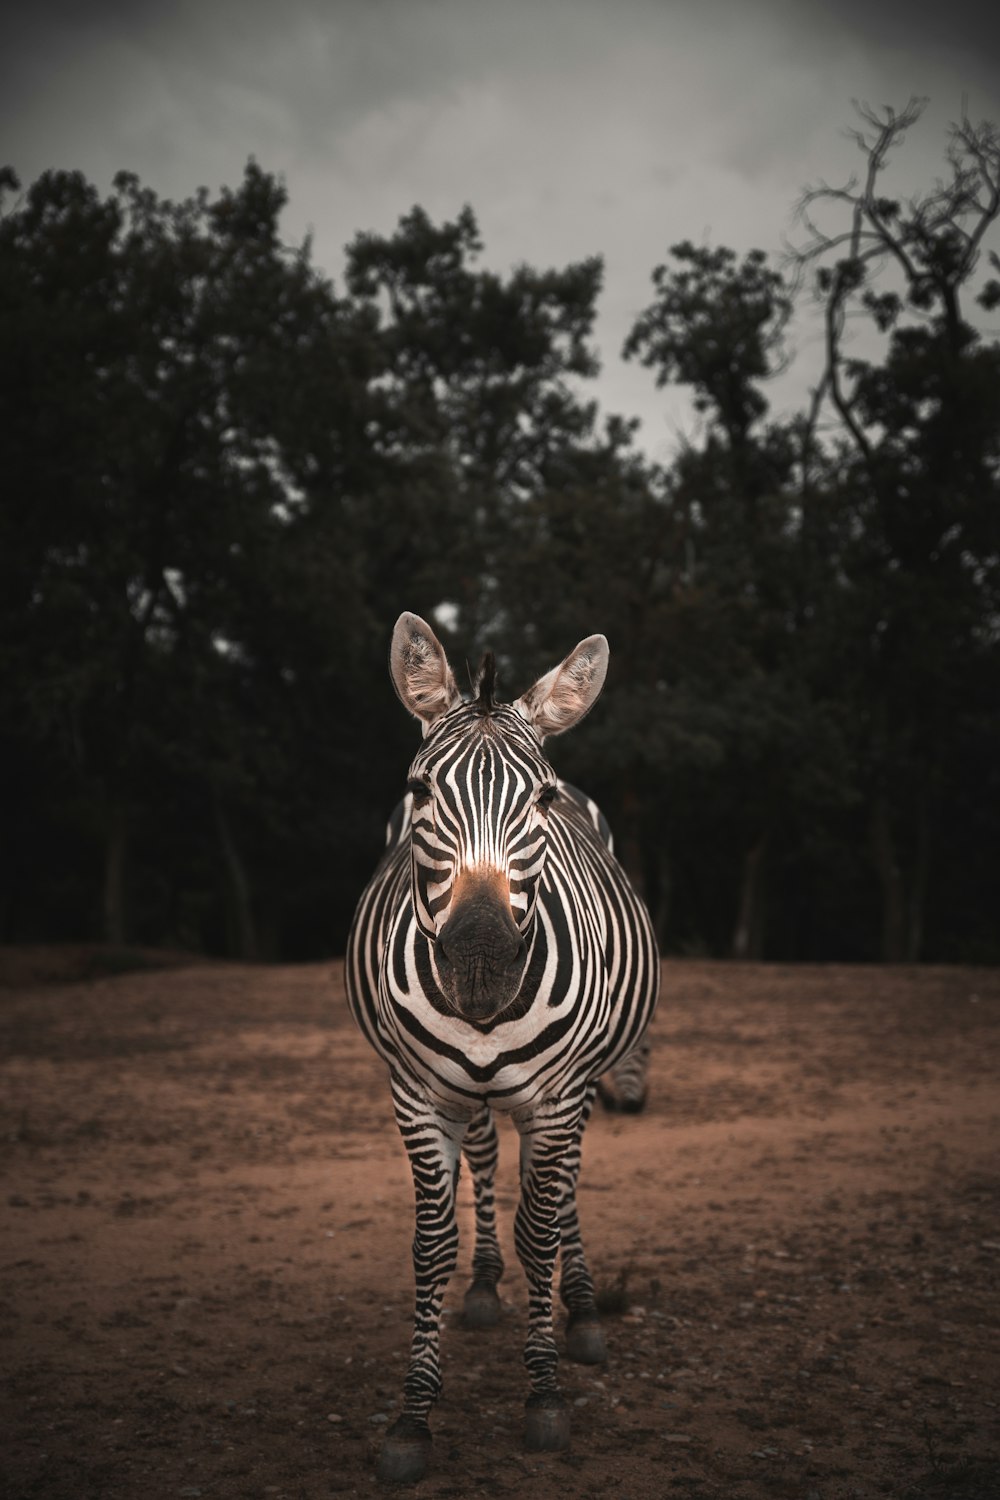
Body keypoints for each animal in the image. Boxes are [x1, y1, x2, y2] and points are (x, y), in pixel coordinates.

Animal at [347, 615, 659, 1482]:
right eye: (422, 791)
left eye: (541, 800)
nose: (481, 964)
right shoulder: (417, 1096)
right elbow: (431, 1245)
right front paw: (413, 1416)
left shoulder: (556, 1099)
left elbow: (541, 1230)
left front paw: (545, 1392)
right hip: (470, 1094)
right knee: (487, 1163)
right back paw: (486, 1285)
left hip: (573, 1090)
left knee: (565, 1190)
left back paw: (581, 1310)